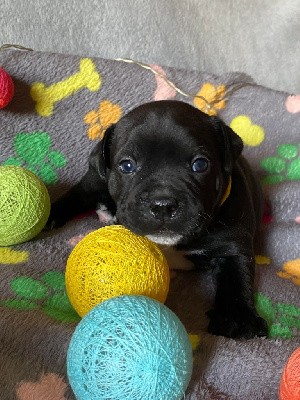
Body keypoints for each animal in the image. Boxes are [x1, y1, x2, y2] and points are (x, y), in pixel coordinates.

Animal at [48, 101, 268, 340]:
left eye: (200, 164)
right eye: (127, 166)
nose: (163, 204)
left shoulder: (232, 246)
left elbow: (236, 279)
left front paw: (236, 318)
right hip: (96, 179)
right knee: (79, 194)